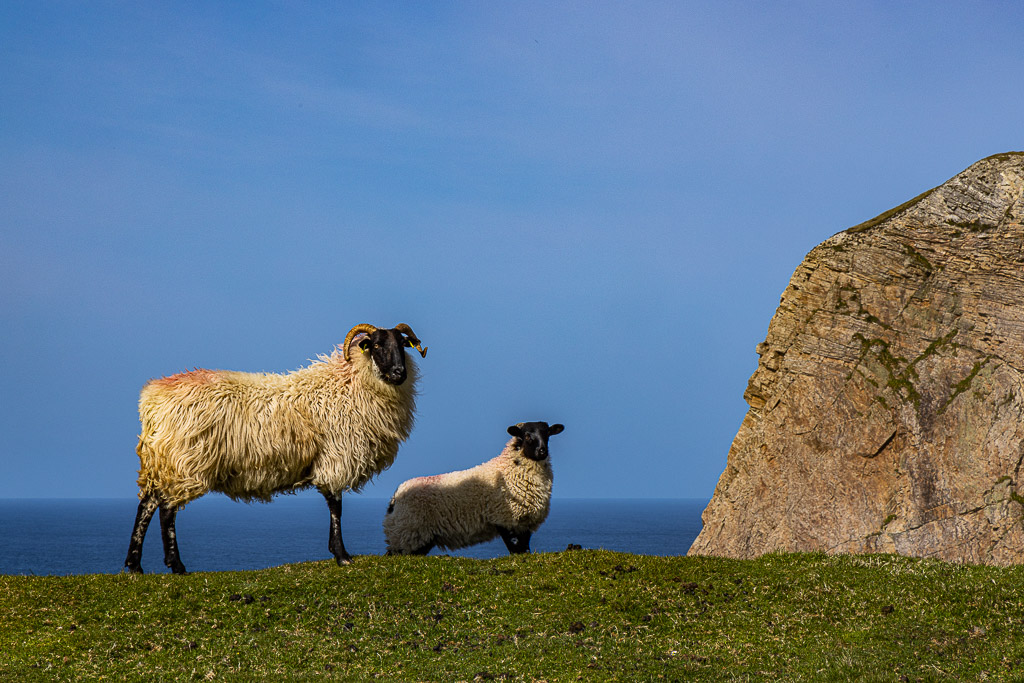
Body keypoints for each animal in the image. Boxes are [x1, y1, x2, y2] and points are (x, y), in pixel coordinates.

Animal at [124, 323, 428, 573]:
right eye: (376, 346)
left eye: (402, 345)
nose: (400, 373)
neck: (350, 384)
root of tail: (151, 398)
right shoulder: (335, 458)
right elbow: (336, 507)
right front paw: (342, 556)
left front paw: (339, 553)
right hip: (184, 460)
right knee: (166, 509)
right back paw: (176, 566)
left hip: (162, 460)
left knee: (147, 504)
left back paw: (135, 565)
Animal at [382, 421, 565, 557]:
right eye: (527, 436)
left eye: (547, 434)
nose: (542, 451)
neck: (510, 469)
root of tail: (395, 498)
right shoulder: (505, 519)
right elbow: (515, 549)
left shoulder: (524, 522)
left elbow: (524, 549)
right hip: (407, 533)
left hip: (417, 537)